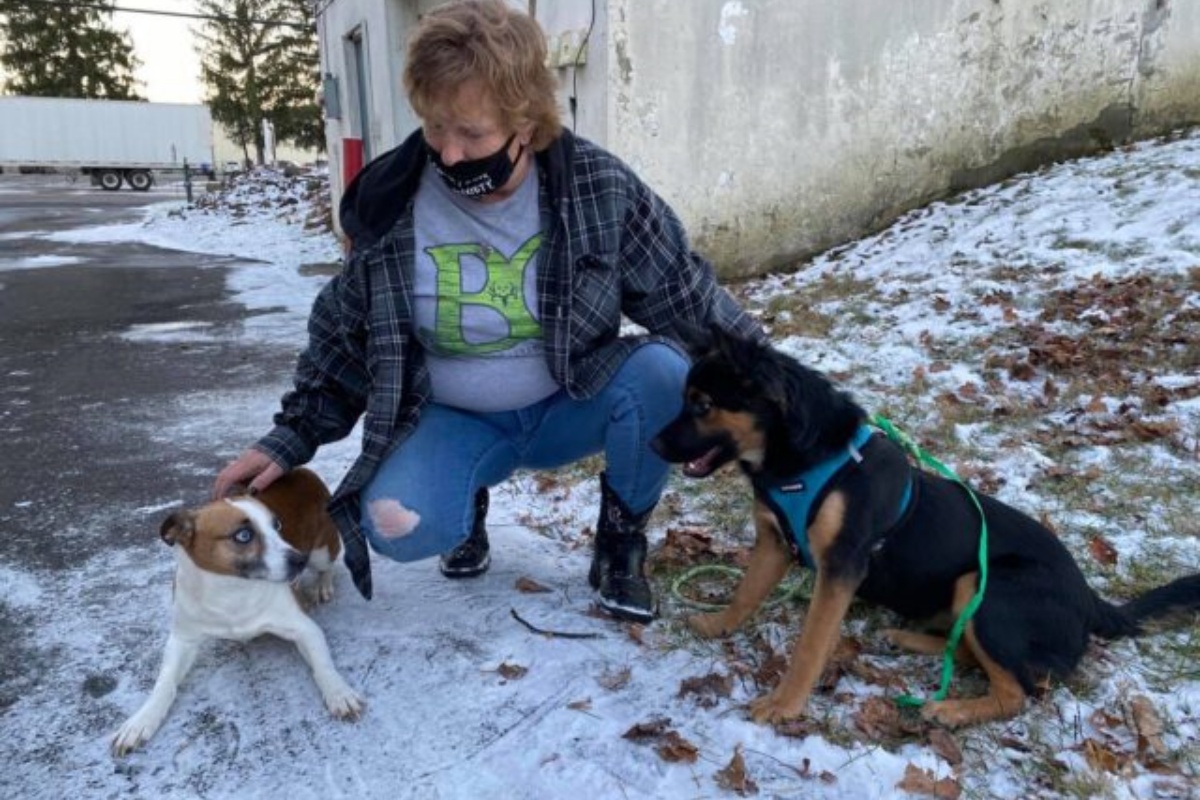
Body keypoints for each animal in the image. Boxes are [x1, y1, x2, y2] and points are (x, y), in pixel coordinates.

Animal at [113, 465, 364, 753]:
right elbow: (164, 682)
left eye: (277, 526)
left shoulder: (305, 629)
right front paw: (143, 718)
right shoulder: (182, 639)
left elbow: (323, 666)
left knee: (328, 565)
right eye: (243, 536)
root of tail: (303, 469)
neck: (232, 591)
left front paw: (338, 692)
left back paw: (322, 585)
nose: (299, 560)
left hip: (322, 551)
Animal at [657, 328, 1200, 729]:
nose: (651, 444)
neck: (799, 459)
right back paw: (908, 640)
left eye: (702, 404)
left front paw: (784, 704)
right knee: (973, 657)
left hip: (985, 585)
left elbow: (811, 645)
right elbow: (746, 593)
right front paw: (717, 625)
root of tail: (1090, 599)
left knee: (1018, 691)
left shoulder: (842, 565)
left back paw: (951, 711)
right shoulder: (773, 541)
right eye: (685, 399)